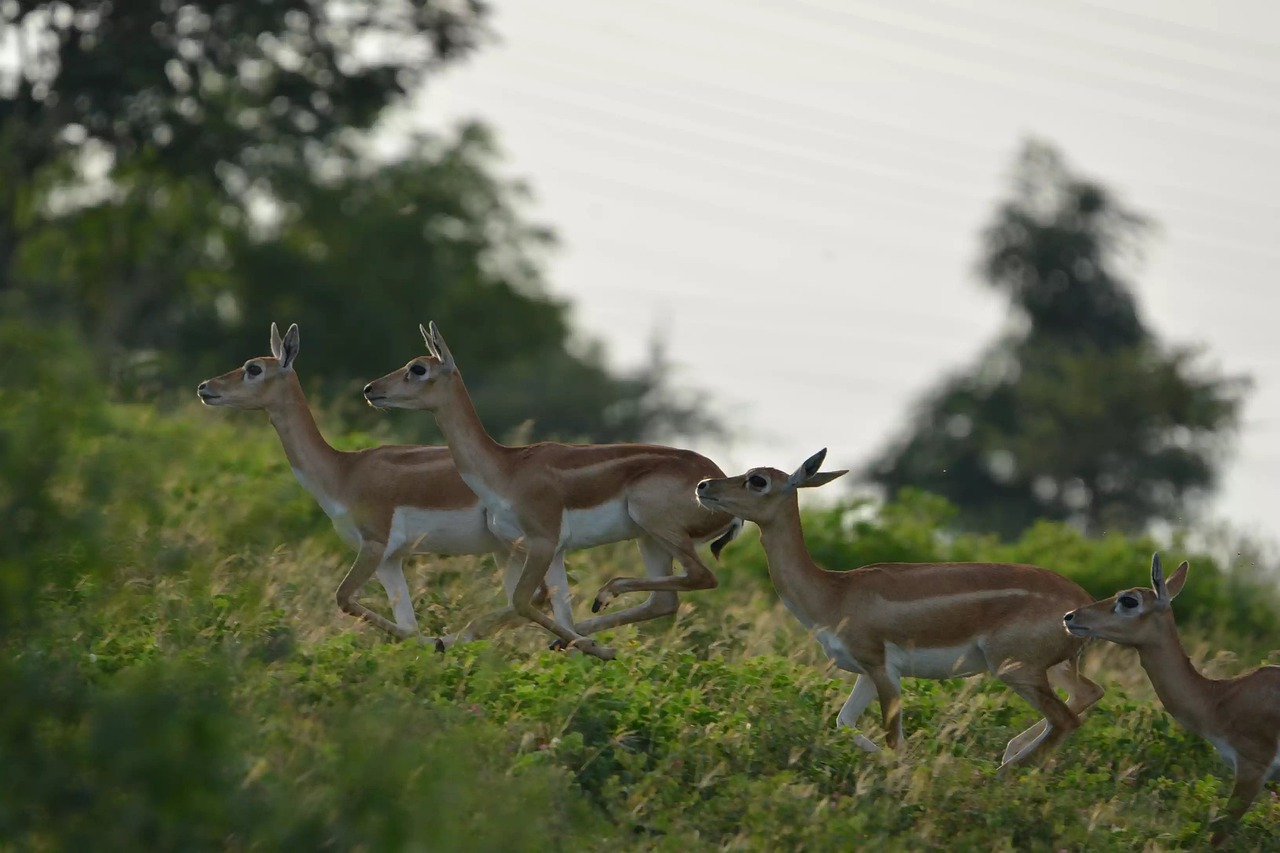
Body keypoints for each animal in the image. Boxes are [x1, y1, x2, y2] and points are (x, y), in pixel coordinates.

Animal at [194, 322, 570, 648]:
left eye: (254, 368)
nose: (204, 387)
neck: (344, 471)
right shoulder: (391, 560)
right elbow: (407, 623)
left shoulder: (373, 546)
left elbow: (344, 598)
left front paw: (434, 643)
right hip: (507, 552)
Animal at [360, 318, 742, 655]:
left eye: (418, 368)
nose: (370, 389)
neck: (507, 468)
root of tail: (713, 479)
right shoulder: (554, 551)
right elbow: (555, 610)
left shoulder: (542, 542)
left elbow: (520, 600)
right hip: (647, 539)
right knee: (664, 600)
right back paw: (577, 631)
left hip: (654, 522)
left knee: (702, 577)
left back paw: (603, 598)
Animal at [696, 448, 1105, 768]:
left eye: (758, 480)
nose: (703, 486)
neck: (835, 592)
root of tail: (1080, 604)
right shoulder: (863, 671)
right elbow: (843, 724)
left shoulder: (883, 670)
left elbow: (894, 742)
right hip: (1053, 668)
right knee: (1087, 694)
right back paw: (1010, 754)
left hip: (1016, 669)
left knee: (1065, 720)